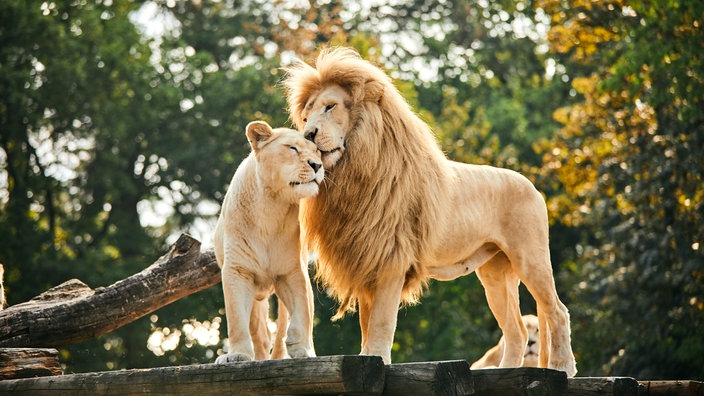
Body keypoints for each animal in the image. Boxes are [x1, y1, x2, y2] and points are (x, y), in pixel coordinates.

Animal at [212, 120, 322, 362]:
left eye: (317, 151)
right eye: (292, 148)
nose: (318, 165)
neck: (272, 206)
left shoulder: (292, 270)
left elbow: (303, 309)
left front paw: (301, 348)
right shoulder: (238, 270)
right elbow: (236, 319)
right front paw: (237, 355)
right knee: (260, 335)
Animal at [282, 48, 576, 376]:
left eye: (330, 106)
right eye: (305, 116)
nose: (308, 134)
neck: (355, 172)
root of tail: (532, 186)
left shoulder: (391, 261)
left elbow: (381, 323)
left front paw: (377, 360)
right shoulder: (366, 260)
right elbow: (367, 325)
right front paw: (367, 359)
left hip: (530, 257)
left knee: (556, 310)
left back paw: (563, 367)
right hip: (495, 273)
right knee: (518, 330)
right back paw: (504, 372)